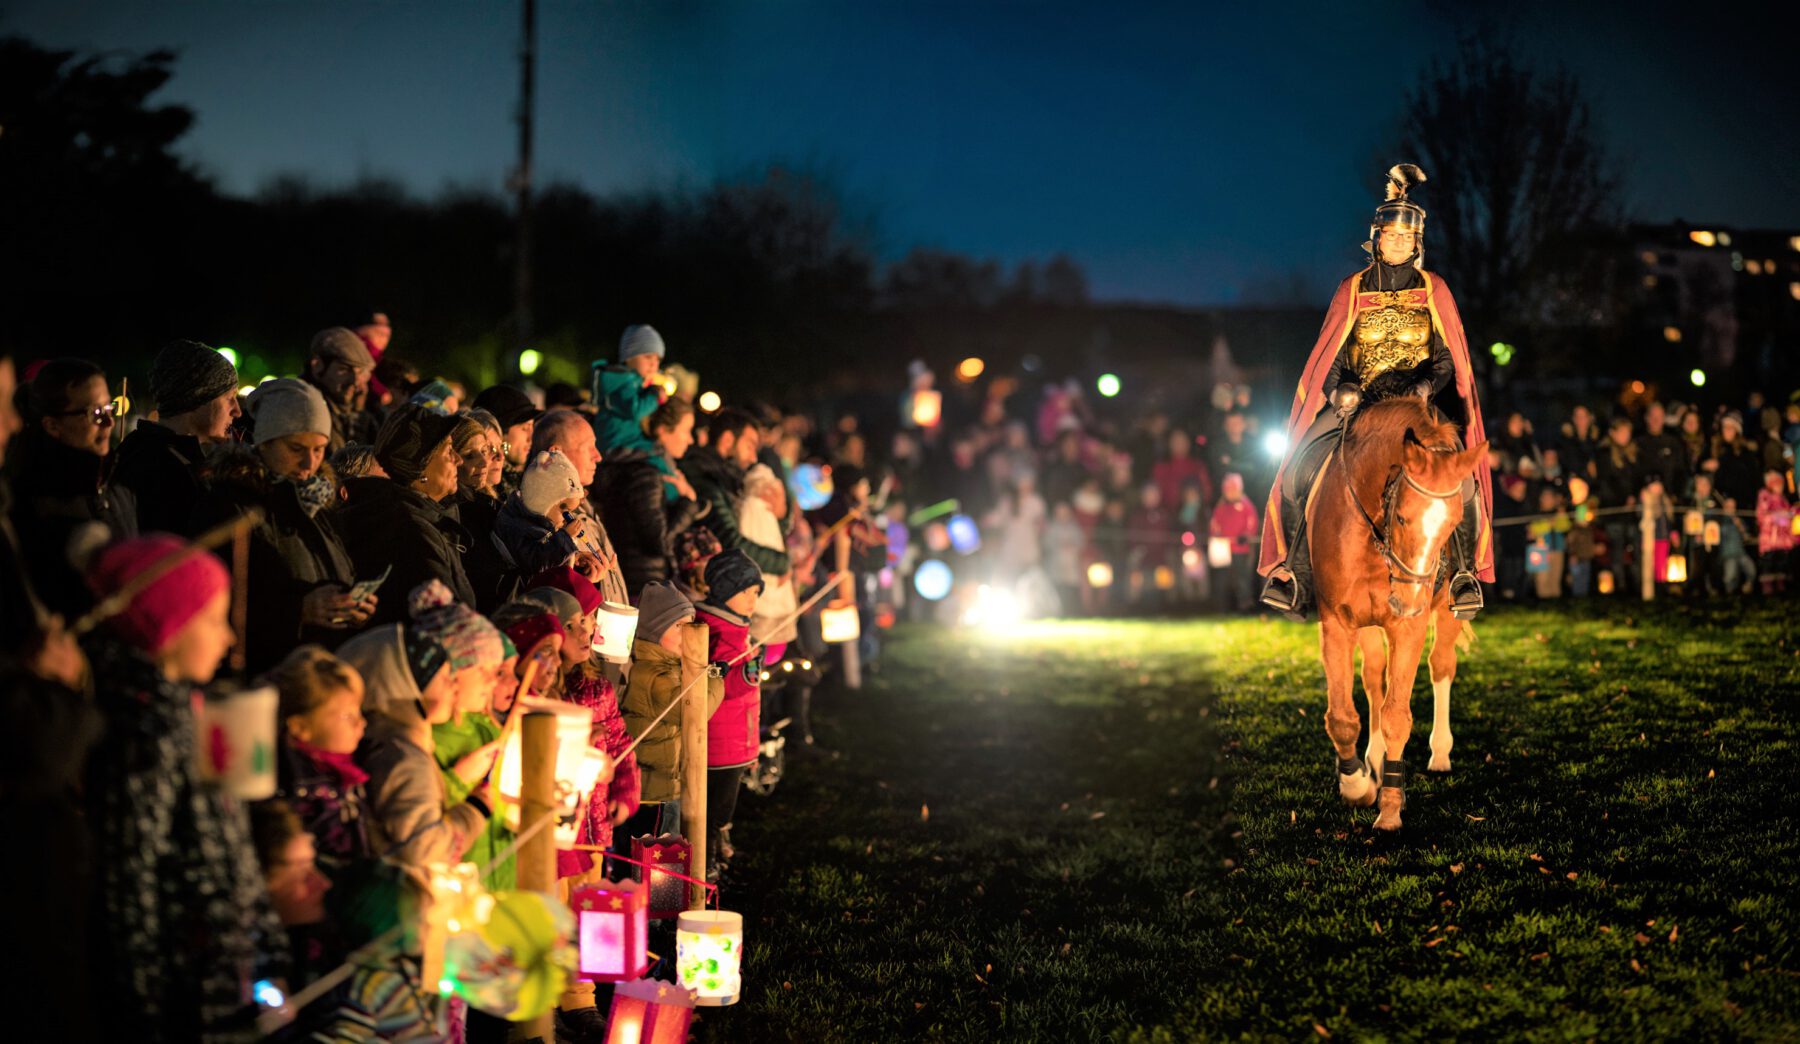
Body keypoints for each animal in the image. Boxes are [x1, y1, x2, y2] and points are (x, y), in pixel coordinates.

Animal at [1310, 396, 1490, 828]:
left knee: (1441, 664)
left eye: (1454, 525)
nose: (1407, 602)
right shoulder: (1337, 621)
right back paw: (1373, 761)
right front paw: (1356, 785)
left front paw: (1390, 806)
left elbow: (1397, 715)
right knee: (1375, 677)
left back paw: (1439, 752)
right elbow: (1342, 716)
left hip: (1442, 614)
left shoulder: (1409, 627)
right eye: (1404, 517)